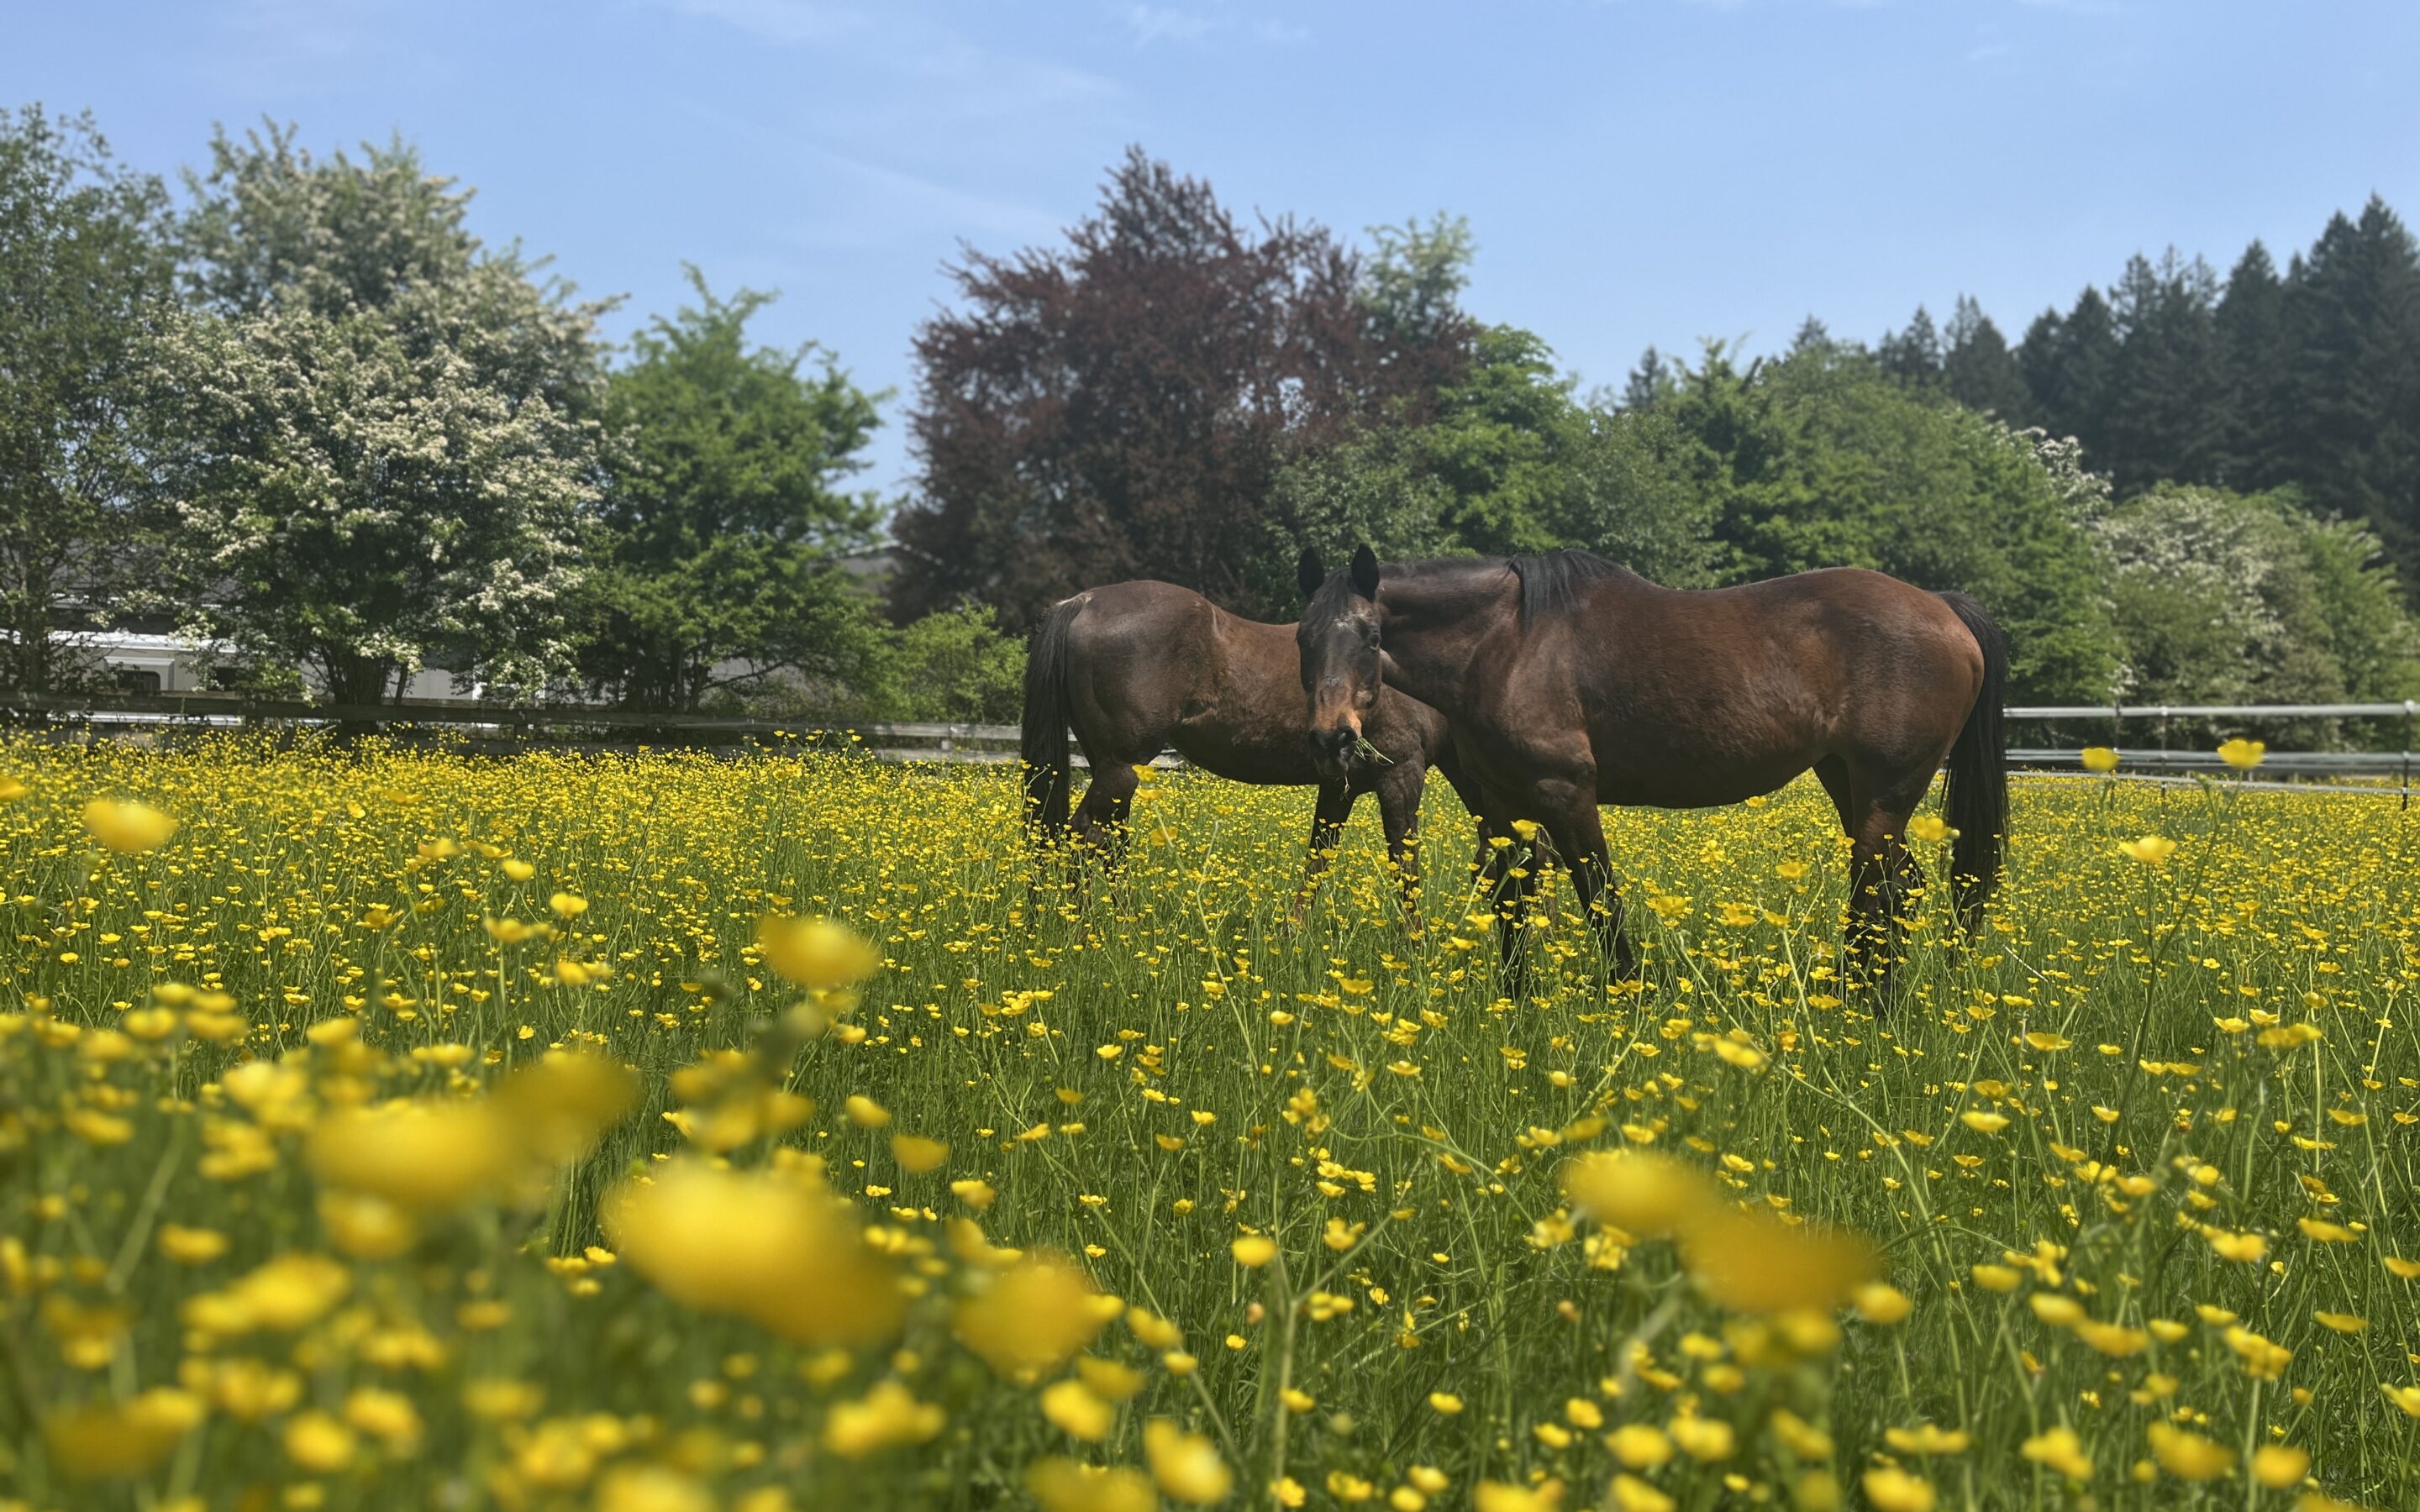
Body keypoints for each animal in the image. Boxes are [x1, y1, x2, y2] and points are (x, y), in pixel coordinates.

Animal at [1016, 580, 1471, 919]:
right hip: (1121, 766)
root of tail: (1082, 602)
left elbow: (1318, 859)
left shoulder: (1340, 786)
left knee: (1108, 840)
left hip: (1112, 768)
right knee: (1084, 834)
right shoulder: (1401, 774)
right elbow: (1405, 867)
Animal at [1297, 542, 2013, 991]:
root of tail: (1943, 607)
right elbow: (1513, 904)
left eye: (1370, 637)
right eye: (1303, 637)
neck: (1508, 643)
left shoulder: (1566, 794)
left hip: (1885, 792)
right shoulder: (1504, 805)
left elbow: (1600, 901)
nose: (1332, 737)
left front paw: (1627, 996)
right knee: (1904, 887)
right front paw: (1516, 1001)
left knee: (1880, 893)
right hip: (1850, 782)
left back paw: (1867, 1007)